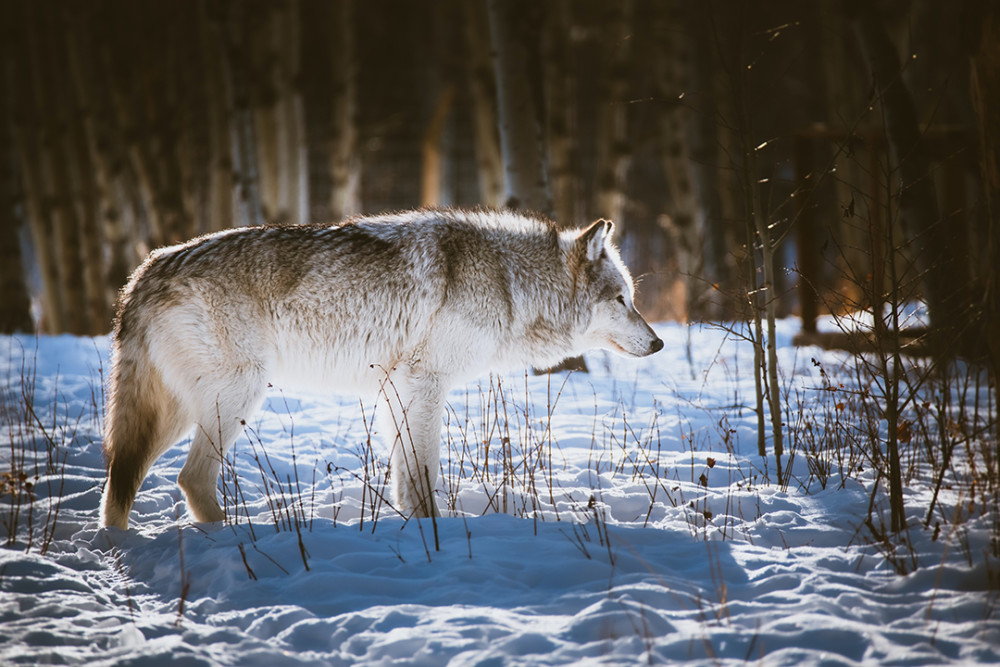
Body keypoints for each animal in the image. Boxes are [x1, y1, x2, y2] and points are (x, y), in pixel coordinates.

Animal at [99, 206, 664, 528]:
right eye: (621, 300)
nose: (659, 343)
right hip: (236, 397)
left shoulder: (398, 390)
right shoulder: (424, 385)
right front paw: (434, 530)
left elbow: (404, 476)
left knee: (123, 479)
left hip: (175, 414)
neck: (510, 283)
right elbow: (423, 472)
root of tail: (146, 270)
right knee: (188, 478)